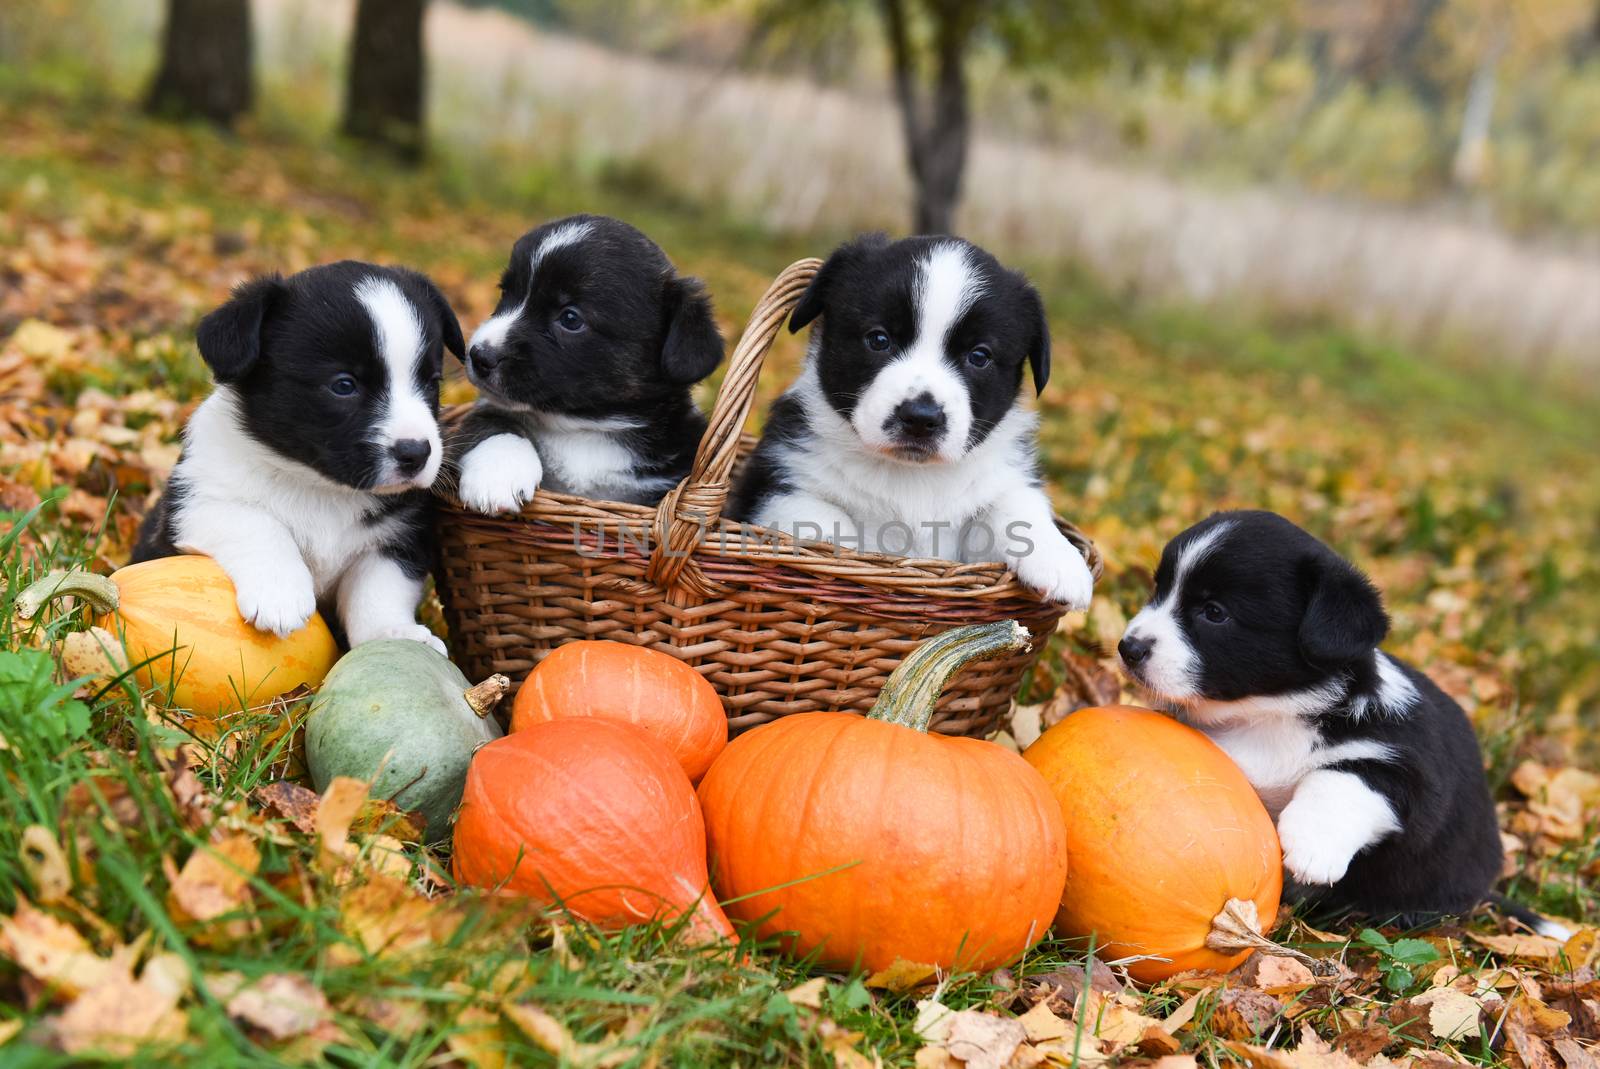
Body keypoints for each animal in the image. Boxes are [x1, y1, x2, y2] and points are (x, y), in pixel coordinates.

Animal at [132, 262, 464, 656]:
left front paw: (392, 634)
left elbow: (378, 590)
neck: (319, 486)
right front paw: (280, 594)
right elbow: (256, 521)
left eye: (431, 382)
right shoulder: (194, 504)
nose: (416, 452)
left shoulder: (398, 537)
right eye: (343, 385)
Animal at [451, 214, 726, 512]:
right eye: (505, 293)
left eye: (571, 318)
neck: (583, 428)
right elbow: (493, 423)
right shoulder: (484, 413)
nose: (478, 356)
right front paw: (498, 475)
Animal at [729, 233, 1094, 608]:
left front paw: (1060, 562)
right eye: (878, 339)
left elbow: (1017, 505)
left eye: (979, 356)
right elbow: (822, 521)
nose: (921, 417)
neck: (909, 476)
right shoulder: (772, 485)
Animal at [1113, 508, 1548, 928]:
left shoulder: (1408, 769)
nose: (1128, 647)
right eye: (1158, 590)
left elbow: (1341, 779)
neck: (1267, 716)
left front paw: (1312, 845)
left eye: (1214, 612)